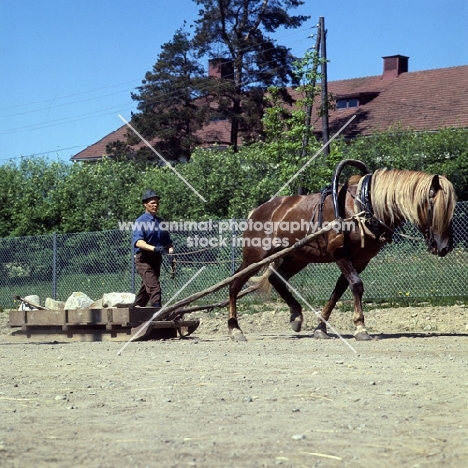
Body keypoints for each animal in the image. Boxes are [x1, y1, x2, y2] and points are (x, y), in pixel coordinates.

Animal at [229, 160, 456, 340]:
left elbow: (339, 290)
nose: (444, 247)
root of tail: (257, 211)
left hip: (298, 258)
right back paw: (235, 329)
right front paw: (360, 328)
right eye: (434, 207)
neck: (361, 207)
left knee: (276, 278)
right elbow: (356, 284)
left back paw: (296, 315)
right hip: (254, 257)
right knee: (234, 284)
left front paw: (321, 328)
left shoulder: (360, 260)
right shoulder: (339, 253)